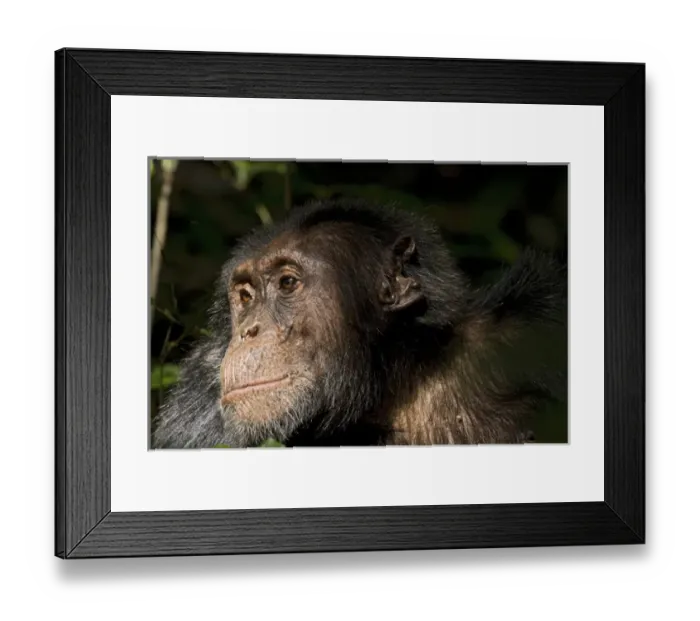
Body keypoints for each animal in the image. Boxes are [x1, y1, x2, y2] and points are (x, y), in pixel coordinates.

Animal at [151, 199, 567, 449]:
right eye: (245, 296)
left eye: (287, 283)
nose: (248, 331)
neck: (394, 382)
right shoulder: (196, 409)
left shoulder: (538, 324)